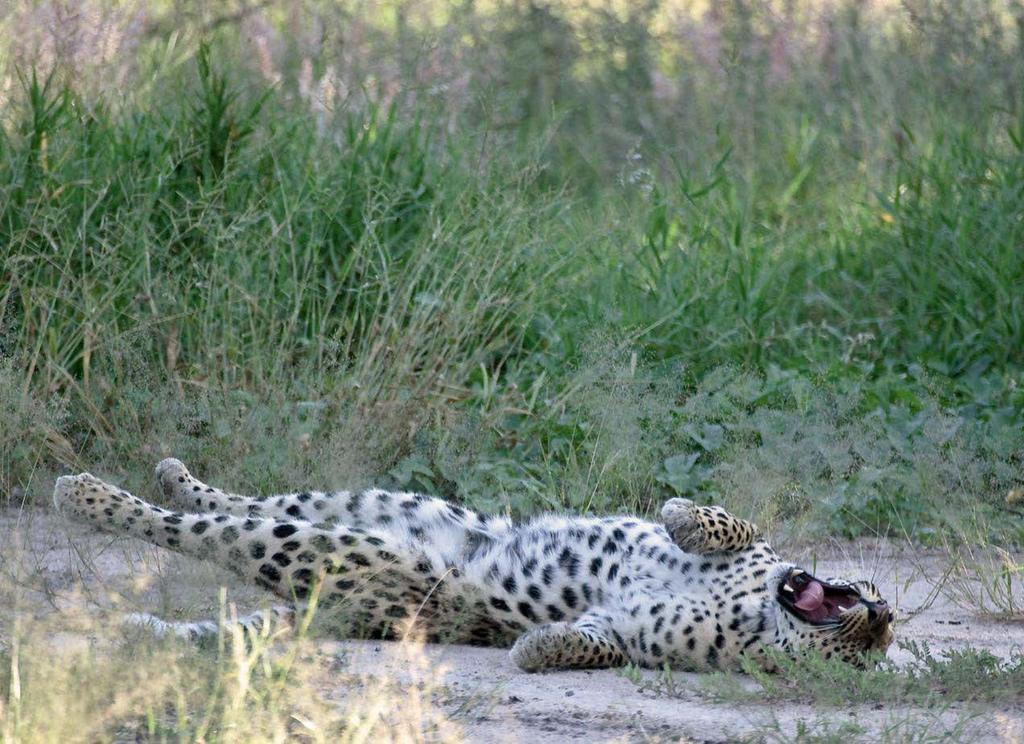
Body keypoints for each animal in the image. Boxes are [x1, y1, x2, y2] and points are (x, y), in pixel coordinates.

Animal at [51, 460, 892, 675]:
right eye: (879, 621)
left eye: (873, 647)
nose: (880, 614)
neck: (758, 609)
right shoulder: (756, 550)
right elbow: (728, 520)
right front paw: (683, 514)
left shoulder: (627, 630)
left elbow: (593, 644)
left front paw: (535, 646)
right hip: (370, 505)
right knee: (244, 501)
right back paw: (164, 476)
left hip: (335, 552)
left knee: (217, 534)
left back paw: (92, 505)